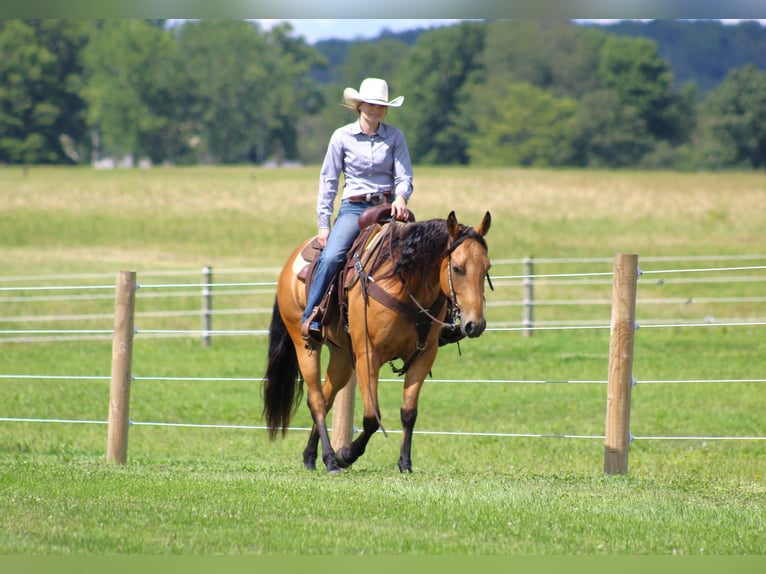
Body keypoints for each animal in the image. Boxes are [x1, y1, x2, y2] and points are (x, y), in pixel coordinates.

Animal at [262, 209, 492, 474]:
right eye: (457, 268)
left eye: (487, 267)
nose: (476, 324)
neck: (403, 285)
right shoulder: (368, 356)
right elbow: (372, 418)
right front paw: (346, 455)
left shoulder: (424, 356)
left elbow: (409, 413)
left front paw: (405, 463)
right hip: (305, 345)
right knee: (317, 400)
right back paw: (331, 459)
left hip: (342, 357)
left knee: (327, 397)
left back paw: (311, 457)